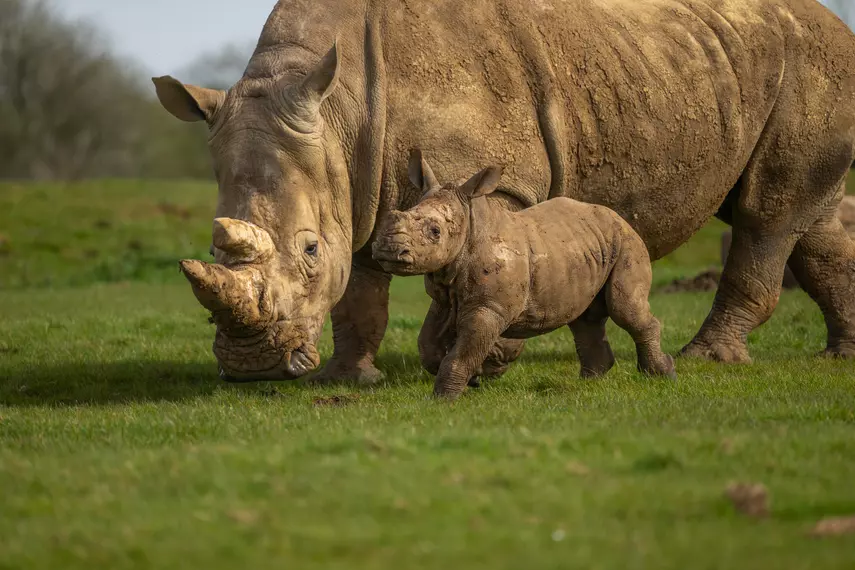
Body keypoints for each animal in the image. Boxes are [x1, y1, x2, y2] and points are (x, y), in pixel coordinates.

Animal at [372, 152, 676, 400]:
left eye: (435, 232)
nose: (387, 248)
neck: (472, 224)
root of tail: (619, 217)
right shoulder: (445, 297)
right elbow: (427, 345)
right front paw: (473, 379)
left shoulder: (489, 307)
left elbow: (463, 352)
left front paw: (444, 399)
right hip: (586, 248)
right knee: (583, 317)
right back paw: (590, 382)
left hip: (627, 242)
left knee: (625, 309)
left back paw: (661, 374)